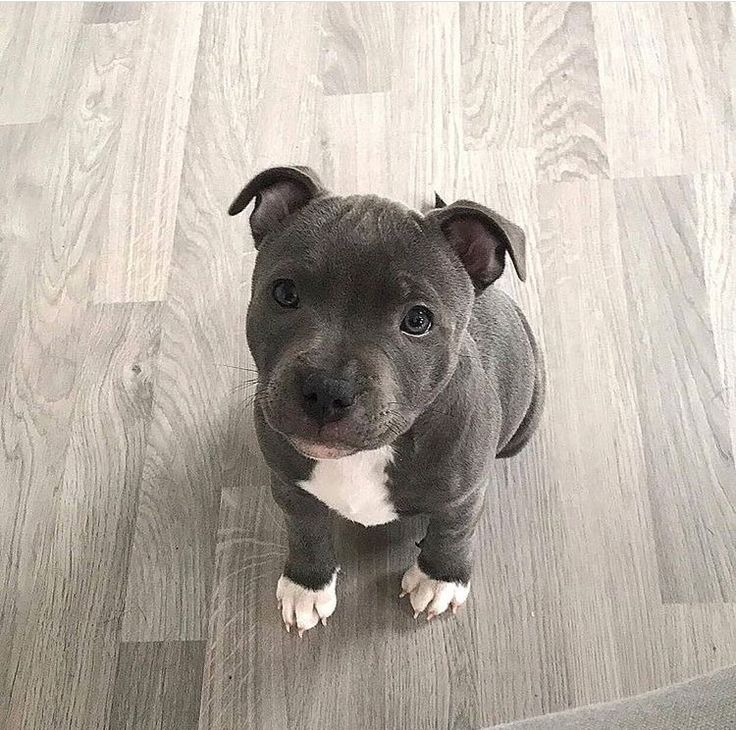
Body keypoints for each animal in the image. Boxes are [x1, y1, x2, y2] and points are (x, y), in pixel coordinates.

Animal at [230, 168, 548, 636]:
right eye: (285, 293)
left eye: (417, 321)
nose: (327, 388)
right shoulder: (288, 481)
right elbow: (305, 528)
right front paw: (308, 584)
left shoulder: (465, 491)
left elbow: (454, 530)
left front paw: (440, 578)